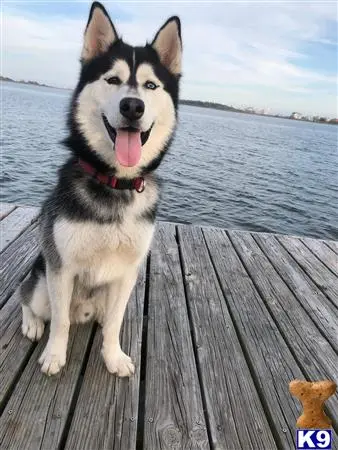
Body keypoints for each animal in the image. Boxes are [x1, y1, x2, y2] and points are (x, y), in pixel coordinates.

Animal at [20, 0, 182, 376]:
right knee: (28, 299)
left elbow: (114, 323)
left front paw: (113, 356)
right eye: (113, 80)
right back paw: (32, 324)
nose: (132, 106)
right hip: (41, 280)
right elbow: (61, 322)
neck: (115, 183)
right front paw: (54, 355)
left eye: (150, 85)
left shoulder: (126, 274)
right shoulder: (61, 268)